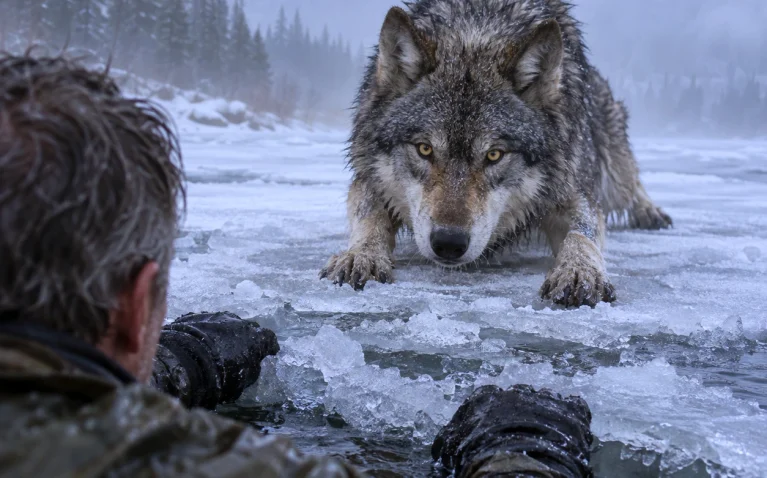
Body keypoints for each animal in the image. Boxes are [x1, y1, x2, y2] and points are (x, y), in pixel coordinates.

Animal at [320, 0, 672, 308]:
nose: (449, 243)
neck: (476, 32)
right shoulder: (368, 176)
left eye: (494, 155)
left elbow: (582, 233)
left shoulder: (571, 188)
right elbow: (369, 216)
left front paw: (578, 272)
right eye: (425, 149)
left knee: (629, 182)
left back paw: (649, 212)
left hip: (612, 168)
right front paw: (360, 255)